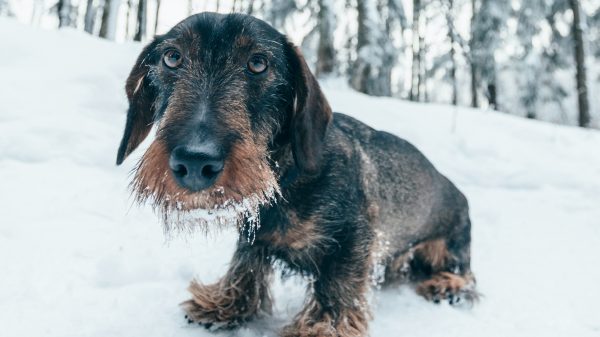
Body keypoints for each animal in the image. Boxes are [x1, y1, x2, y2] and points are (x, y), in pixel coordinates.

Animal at [115, 11, 476, 334]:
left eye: (258, 63)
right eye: (172, 57)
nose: (194, 161)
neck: (283, 181)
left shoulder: (354, 237)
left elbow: (337, 286)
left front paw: (322, 328)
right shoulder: (253, 232)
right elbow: (247, 262)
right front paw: (226, 303)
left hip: (449, 247)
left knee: (468, 277)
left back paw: (448, 285)